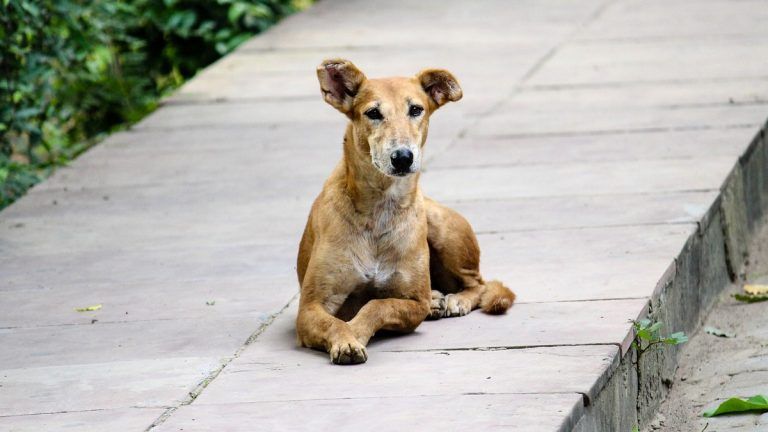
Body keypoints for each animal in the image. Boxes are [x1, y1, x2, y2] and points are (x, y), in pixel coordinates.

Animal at [294, 58, 516, 364]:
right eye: (373, 113)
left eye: (416, 110)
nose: (402, 157)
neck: (380, 207)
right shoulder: (310, 306)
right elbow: (335, 322)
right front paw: (346, 339)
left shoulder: (413, 302)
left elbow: (377, 305)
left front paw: (356, 331)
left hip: (440, 226)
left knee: (478, 283)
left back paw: (455, 299)